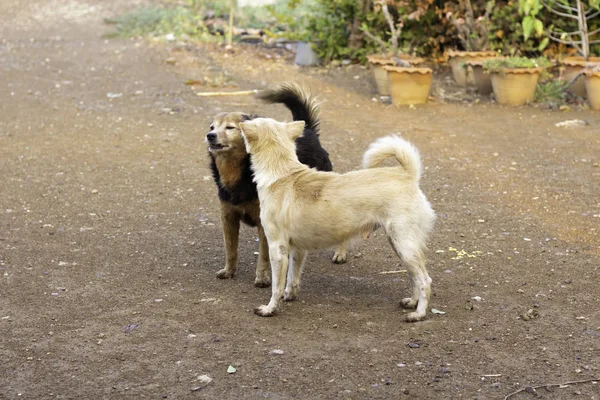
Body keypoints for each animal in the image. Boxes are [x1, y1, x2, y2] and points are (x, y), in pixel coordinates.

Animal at [207, 82, 344, 288]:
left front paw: (262, 277)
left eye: (230, 127)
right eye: (212, 126)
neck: (239, 171)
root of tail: (308, 130)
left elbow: (263, 255)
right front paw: (229, 271)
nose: (210, 136)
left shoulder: (265, 223)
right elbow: (231, 249)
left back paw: (340, 253)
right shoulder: (228, 216)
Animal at [239, 118, 436, 322]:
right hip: (400, 246)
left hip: (404, 245)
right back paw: (412, 302)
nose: (242, 120)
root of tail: (407, 175)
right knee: (414, 277)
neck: (281, 172)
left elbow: (276, 286)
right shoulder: (297, 249)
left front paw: (270, 308)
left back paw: (419, 313)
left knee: (424, 280)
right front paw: (289, 295)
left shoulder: (277, 248)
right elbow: (293, 278)